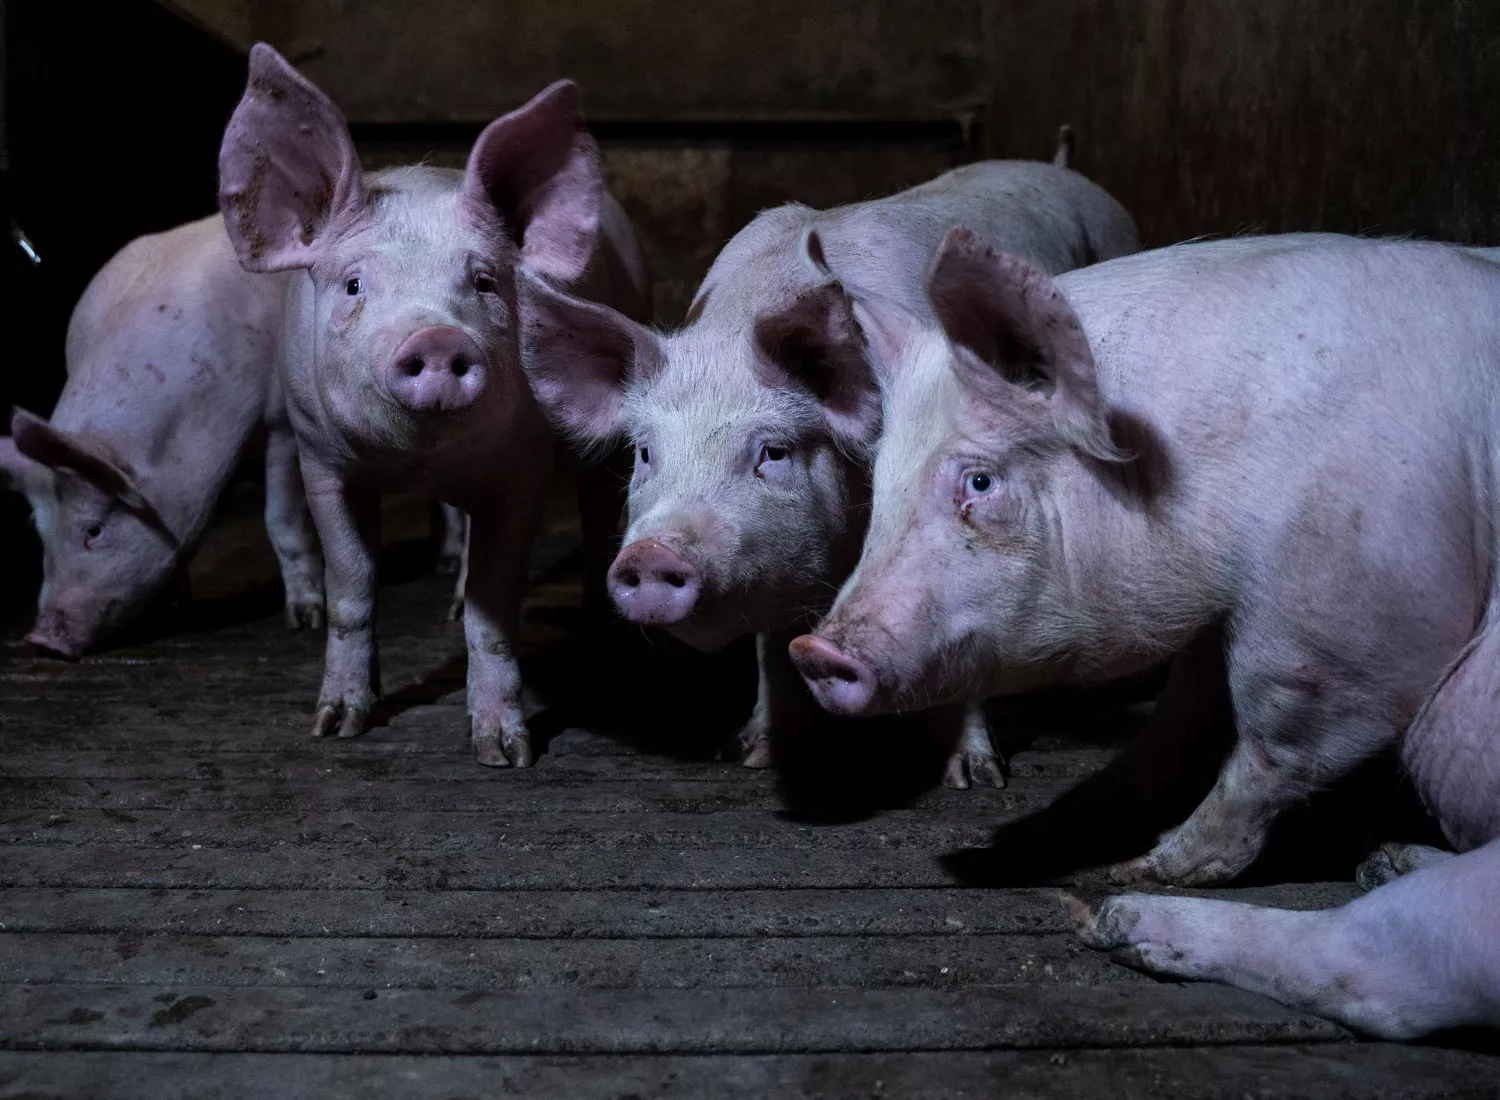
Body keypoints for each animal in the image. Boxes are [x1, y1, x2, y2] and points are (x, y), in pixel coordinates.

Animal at [0, 217, 327, 657]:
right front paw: (175, 607)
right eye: (41, 533)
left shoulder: (282, 421)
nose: (41, 639)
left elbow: (282, 518)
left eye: (93, 530)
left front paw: (305, 622)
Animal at [217, 42, 651, 762]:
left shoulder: (522, 468)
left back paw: (592, 622)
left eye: (484, 282)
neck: (417, 461)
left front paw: (505, 753)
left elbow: (494, 605)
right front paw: (336, 724)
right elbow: (352, 587)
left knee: (595, 512)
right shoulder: (321, 461)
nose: (438, 337)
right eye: (354, 284)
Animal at [516, 144, 1134, 780]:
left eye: (773, 451)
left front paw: (974, 778)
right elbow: (768, 650)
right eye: (644, 451)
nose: (650, 553)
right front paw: (752, 756)